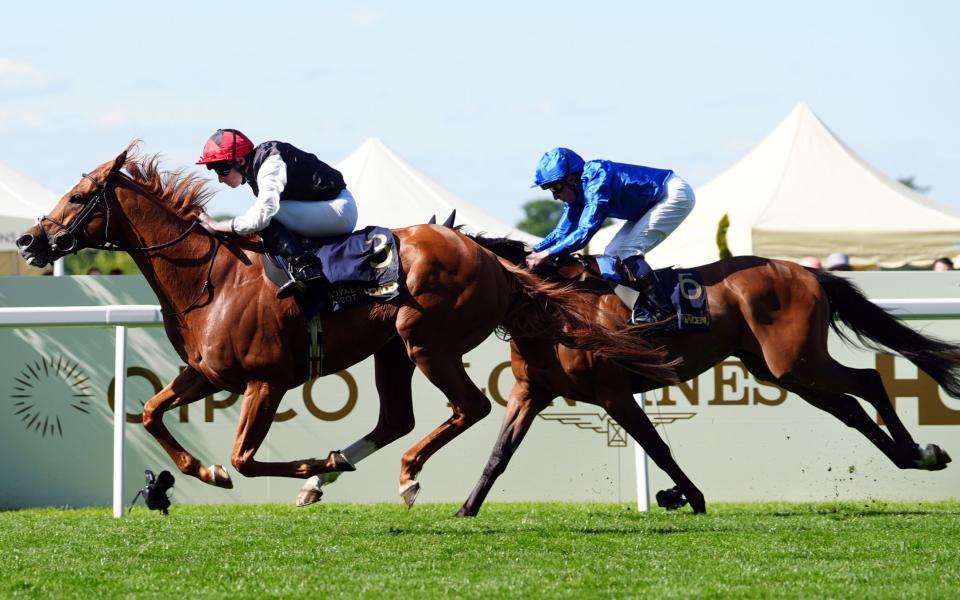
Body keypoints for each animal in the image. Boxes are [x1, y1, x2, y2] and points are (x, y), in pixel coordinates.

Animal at [15, 146, 676, 506]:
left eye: (76, 197)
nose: (26, 240)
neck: (212, 276)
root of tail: (488, 256)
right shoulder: (206, 372)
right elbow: (152, 413)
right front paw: (202, 472)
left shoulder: (265, 380)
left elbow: (246, 457)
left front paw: (305, 467)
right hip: (392, 351)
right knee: (397, 418)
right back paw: (344, 471)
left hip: (426, 341)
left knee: (468, 408)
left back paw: (400, 475)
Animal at [454, 234, 956, 516]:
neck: (550, 308)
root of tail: (808, 273)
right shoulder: (530, 392)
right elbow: (499, 455)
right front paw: (466, 509)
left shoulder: (612, 393)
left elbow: (657, 447)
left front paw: (688, 496)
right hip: (783, 370)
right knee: (850, 406)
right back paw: (911, 456)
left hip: (795, 362)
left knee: (867, 381)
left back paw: (920, 453)